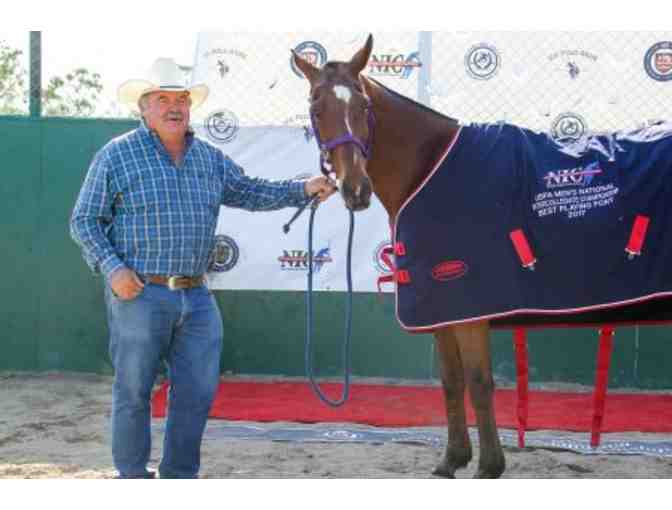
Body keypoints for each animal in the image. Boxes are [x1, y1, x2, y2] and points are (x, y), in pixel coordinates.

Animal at [291, 34, 672, 478]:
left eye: (364, 106)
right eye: (317, 108)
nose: (355, 189)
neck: (428, 170)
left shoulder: (469, 308)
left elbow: (478, 382)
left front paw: (489, 465)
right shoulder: (441, 308)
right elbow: (451, 381)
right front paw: (451, 459)